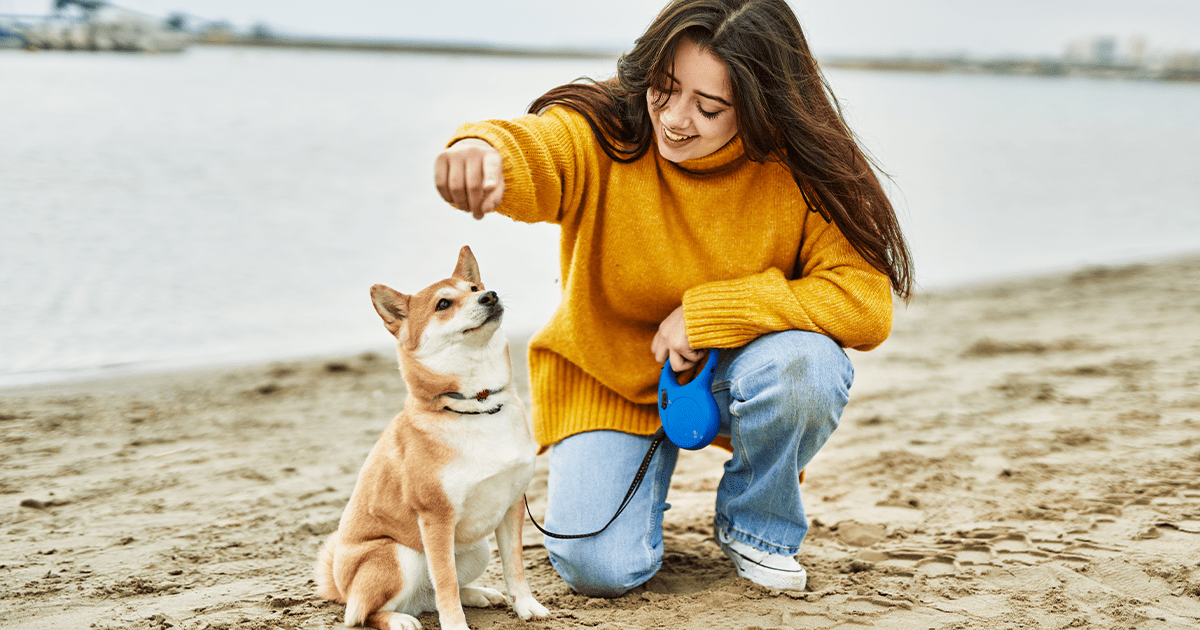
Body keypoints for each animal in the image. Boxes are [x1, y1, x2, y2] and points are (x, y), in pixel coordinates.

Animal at [314, 246, 549, 628]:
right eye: (443, 304)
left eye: (473, 288)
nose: (490, 295)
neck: (478, 405)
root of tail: (341, 585)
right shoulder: (435, 519)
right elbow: (445, 582)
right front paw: (455, 625)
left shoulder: (512, 504)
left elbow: (514, 567)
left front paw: (526, 606)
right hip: (400, 556)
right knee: (362, 614)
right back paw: (396, 619)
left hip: (477, 549)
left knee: (428, 597)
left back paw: (479, 594)